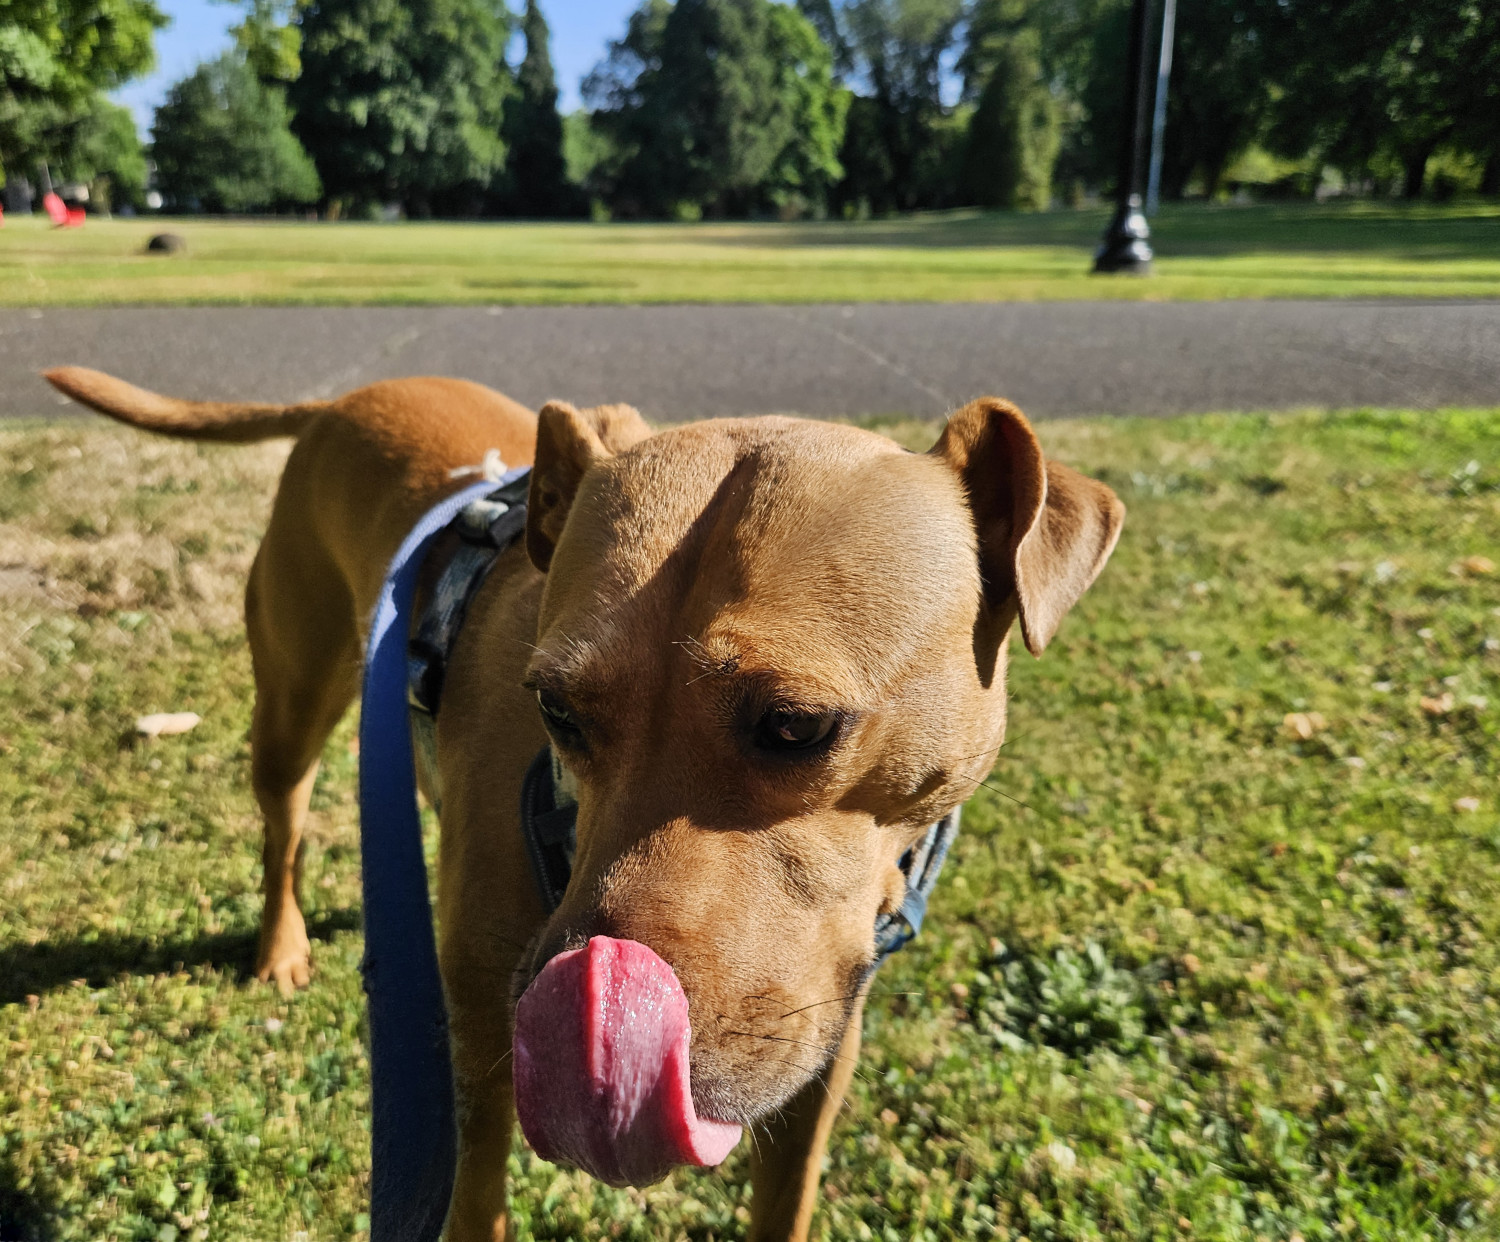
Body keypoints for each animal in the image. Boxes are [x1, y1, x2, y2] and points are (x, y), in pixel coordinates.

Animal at [46, 366, 1122, 1242]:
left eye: (796, 727)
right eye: (555, 709)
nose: (577, 1025)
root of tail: (351, 396)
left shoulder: (826, 1028)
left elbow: (787, 1194)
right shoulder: (479, 1033)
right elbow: (475, 1199)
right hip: (293, 704)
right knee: (285, 833)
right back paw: (281, 945)